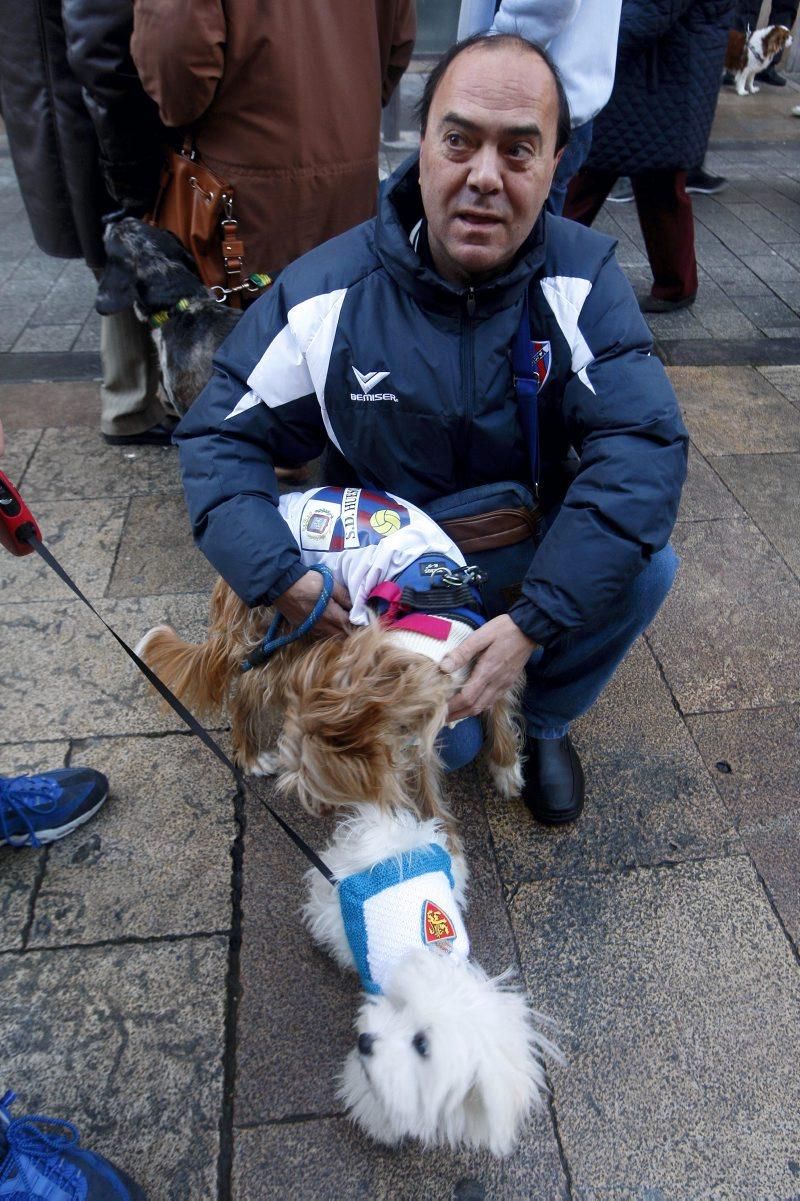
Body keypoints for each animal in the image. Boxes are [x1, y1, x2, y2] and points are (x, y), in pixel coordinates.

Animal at [136, 482, 523, 831]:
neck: (432, 621)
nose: (322, 812)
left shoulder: (486, 653)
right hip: (284, 624)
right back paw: (251, 756)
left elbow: (498, 702)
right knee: (245, 688)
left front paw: (506, 768)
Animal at [300, 807, 559, 1152]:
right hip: (340, 908)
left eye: (422, 1044)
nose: (364, 1040)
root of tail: (396, 848)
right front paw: (382, 1123)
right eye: (400, 1005)